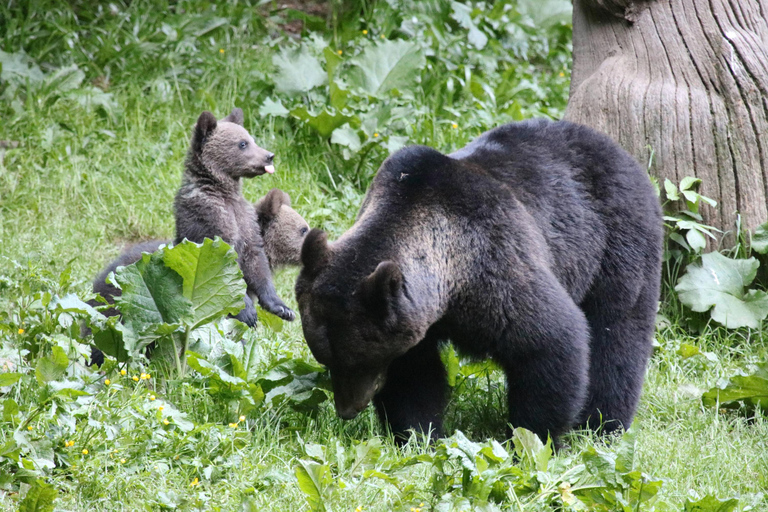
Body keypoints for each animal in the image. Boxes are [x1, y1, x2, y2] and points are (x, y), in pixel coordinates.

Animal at [175, 108, 295, 323]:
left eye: (251, 139)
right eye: (242, 143)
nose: (269, 156)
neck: (224, 193)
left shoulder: (246, 222)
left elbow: (256, 262)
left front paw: (283, 308)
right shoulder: (207, 219)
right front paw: (247, 311)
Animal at [295, 118, 662, 445]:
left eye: (359, 360)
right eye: (326, 358)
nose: (347, 409)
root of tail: (617, 149)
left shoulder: (493, 267)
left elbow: (551, 340)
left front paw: (532, 438)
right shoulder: (417, 320)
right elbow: (415, 378)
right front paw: (418, 434)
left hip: (616, 241)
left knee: (617, 333)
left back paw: (603, 425)